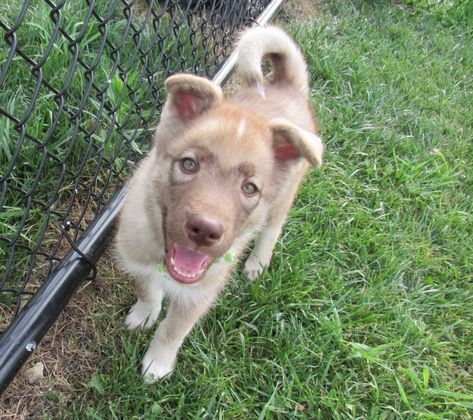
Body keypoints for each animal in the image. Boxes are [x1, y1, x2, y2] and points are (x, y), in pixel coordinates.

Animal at [115, 24, 322, 382]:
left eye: (249, 188)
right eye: (189, 164)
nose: (204, 230)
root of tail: (283, 85)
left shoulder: (201, 293)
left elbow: (173, 330)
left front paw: (157, 364)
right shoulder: (135, 255)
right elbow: (146, 289)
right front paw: (145, 314)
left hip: (286, 194)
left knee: (272, 228)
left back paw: (257, 262)